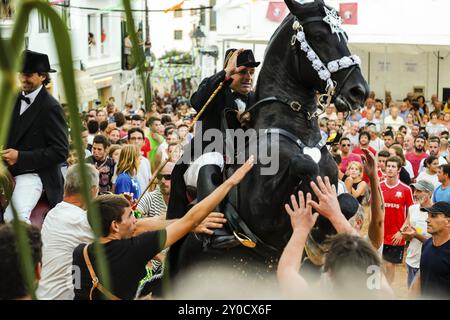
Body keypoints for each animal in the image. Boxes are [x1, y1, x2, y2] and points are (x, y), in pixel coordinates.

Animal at [165, 0, 370, 288]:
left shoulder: (332, 181)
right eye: (319, 36)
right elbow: (303, 164)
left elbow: (348, 201)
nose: (358, 91)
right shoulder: (262, 209)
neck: (295, 129)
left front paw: (324, 234)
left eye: (346, 36)